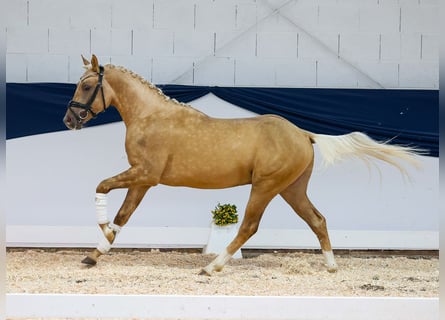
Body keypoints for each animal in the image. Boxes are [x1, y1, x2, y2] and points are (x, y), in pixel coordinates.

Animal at [62, 55, 420, 276]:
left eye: (86, 85)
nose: (69, 120)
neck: (151, 116)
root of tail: (303, 133)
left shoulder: (145, 175)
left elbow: (101, 187)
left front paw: (102, 227)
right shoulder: (142, 180)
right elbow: (124, 215)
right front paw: (94, 254)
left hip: (266, 187)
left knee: (249, 226)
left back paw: (211, 268)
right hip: (292, 189)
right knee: (317, 220)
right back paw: (331, 267)